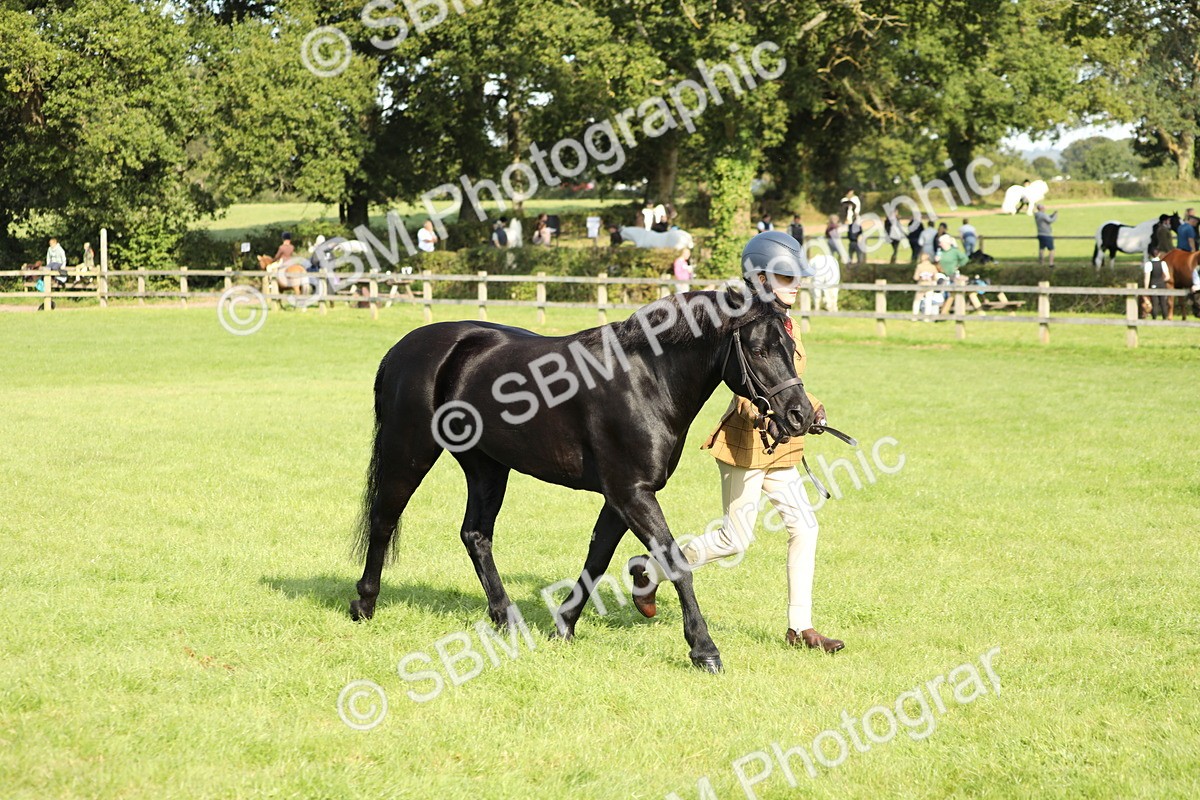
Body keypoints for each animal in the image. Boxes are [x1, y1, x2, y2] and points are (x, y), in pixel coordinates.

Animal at [349, 288, 815, 672]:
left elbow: (598, 559)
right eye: (758, 350)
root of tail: (404, 349)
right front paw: (704, 650)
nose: (801, 416)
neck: (646, 378)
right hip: (409, 451)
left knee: (475, 535)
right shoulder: (632, 493)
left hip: (487, 467)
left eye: (791, 347)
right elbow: (676, 563)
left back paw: (506, 617)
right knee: (384, 520)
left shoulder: (621, 497)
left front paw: (564, 625)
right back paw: (364, 604)